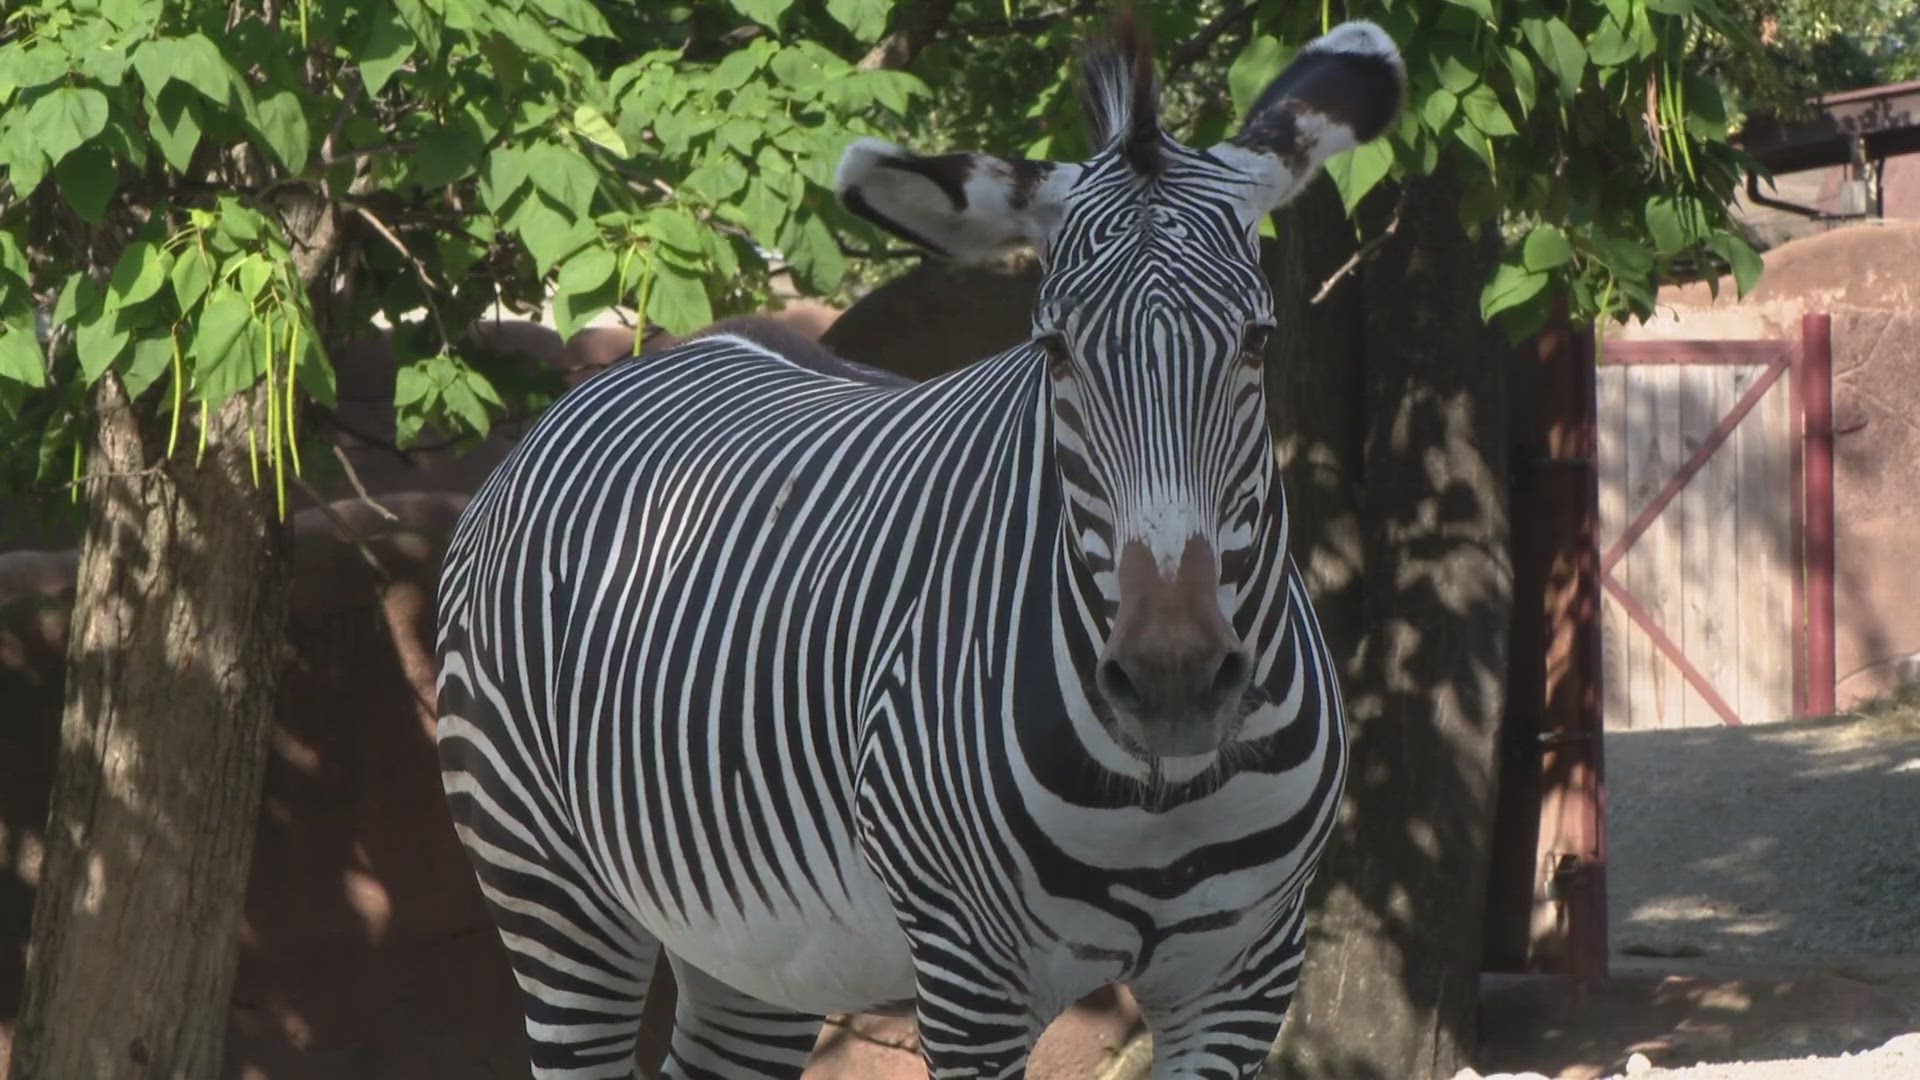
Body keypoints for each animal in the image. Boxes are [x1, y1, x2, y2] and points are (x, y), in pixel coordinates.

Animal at [432, 14, 1397, 1076]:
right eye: (1052, 351)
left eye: (1258, 342)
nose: (1173, 680)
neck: (1164, 797)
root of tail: (642, 367)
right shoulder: (972, 978)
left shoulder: (1246, 976)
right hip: (545, 879)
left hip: (753, 946)